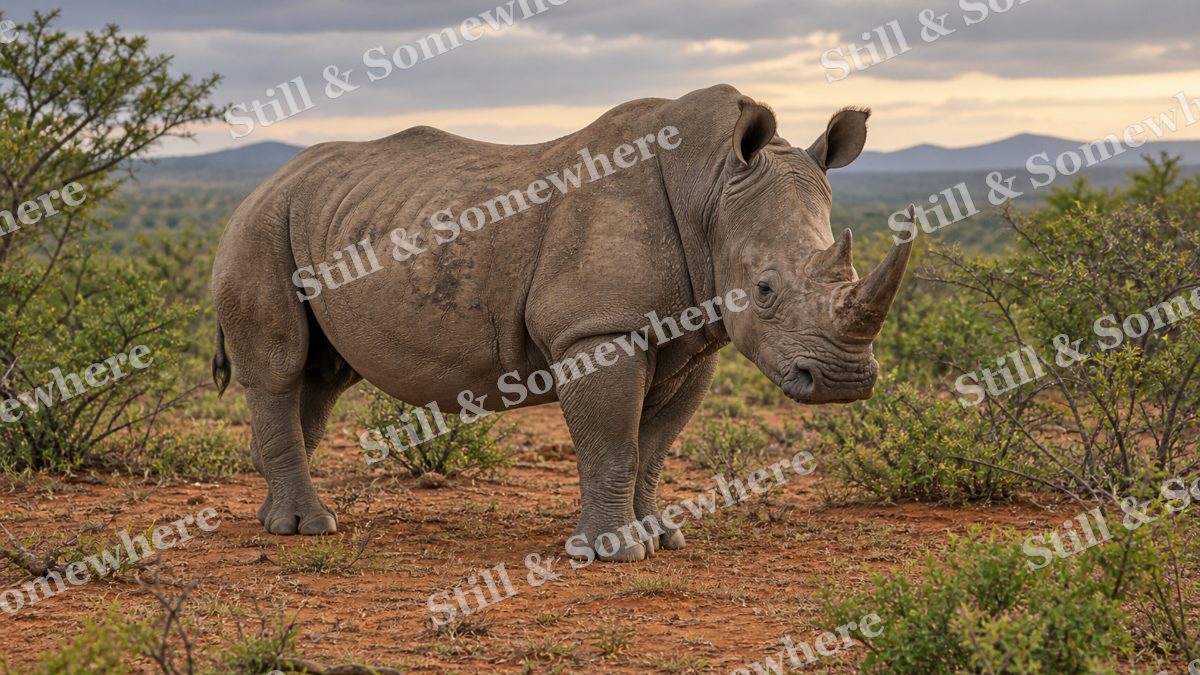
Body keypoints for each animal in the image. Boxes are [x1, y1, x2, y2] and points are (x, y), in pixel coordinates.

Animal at [211, 83, 912, 561]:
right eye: (764, 290)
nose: (844, 382)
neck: (711, 187)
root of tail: (262, 185)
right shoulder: (597, 329)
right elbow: (615, 442)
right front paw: (613, 553)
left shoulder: (696, 339)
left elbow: (654, 446)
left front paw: (662, 538)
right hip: (260, 227)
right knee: (279, 369)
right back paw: (307, 529)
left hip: (310, 219)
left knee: (320, 378)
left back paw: (278, 518)